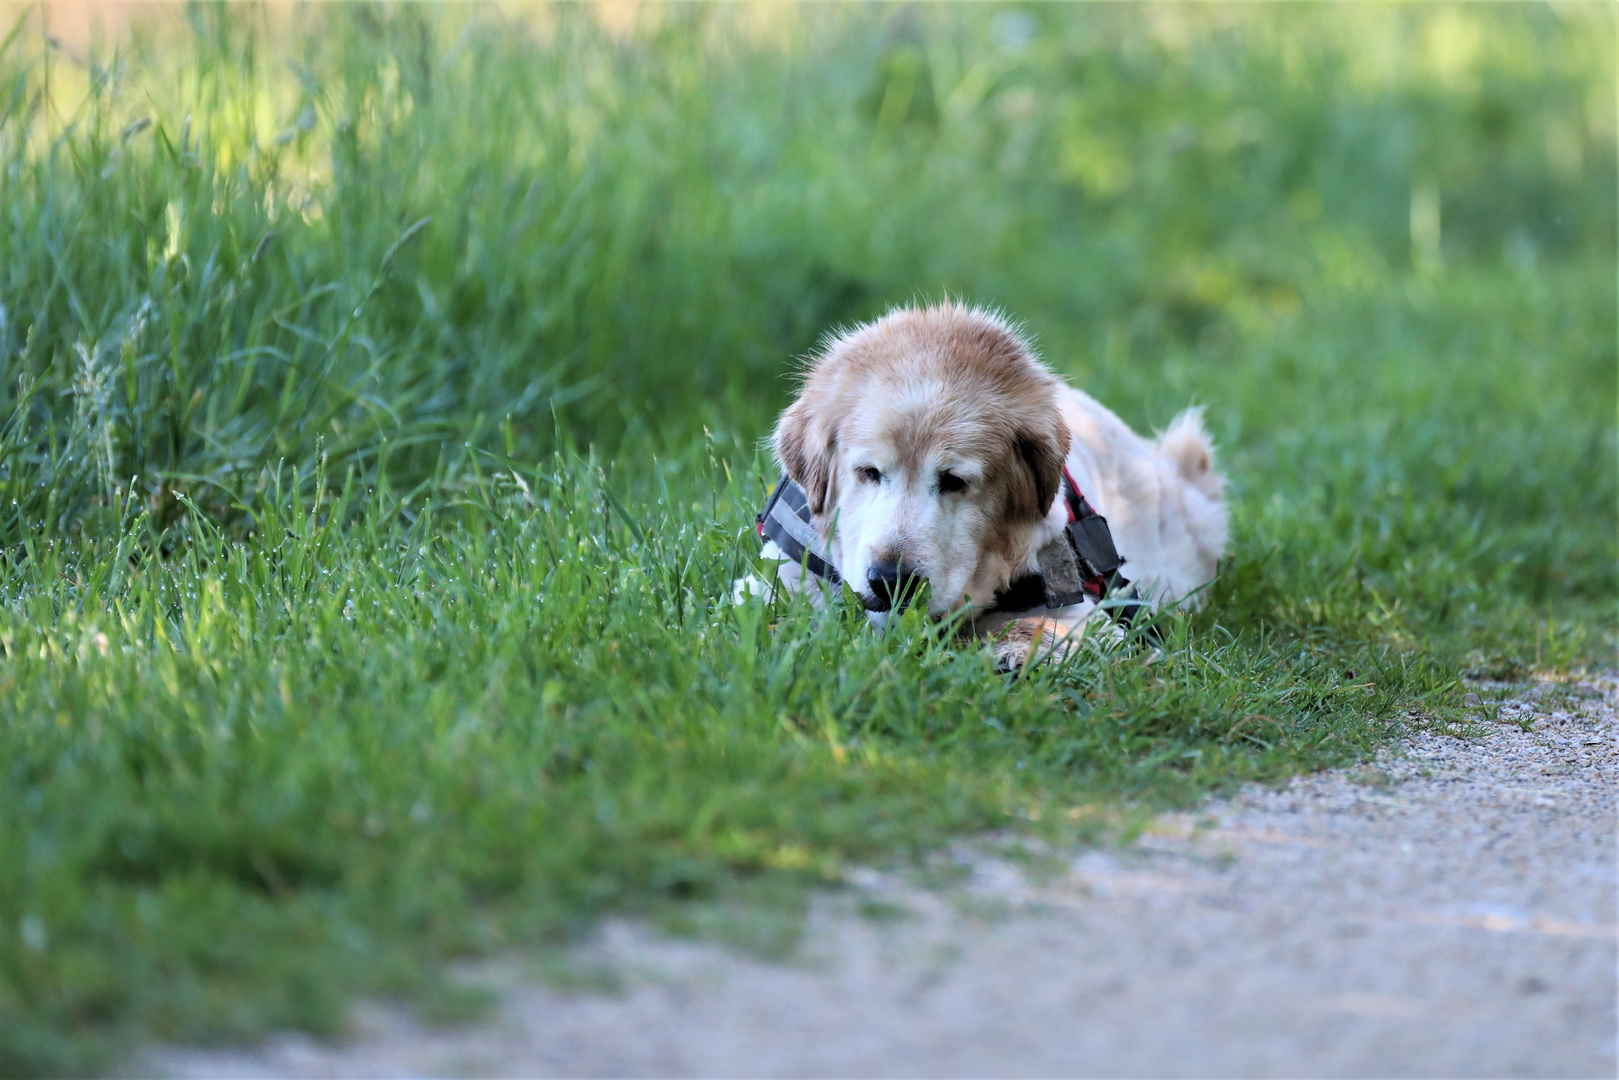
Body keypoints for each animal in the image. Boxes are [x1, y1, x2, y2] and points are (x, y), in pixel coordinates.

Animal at [741, 302, 1223, 667]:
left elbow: (1041, 626)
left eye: (954, 481)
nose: (892, 581)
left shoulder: (1082, 613)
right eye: (869, 472)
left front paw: (1015, 650)